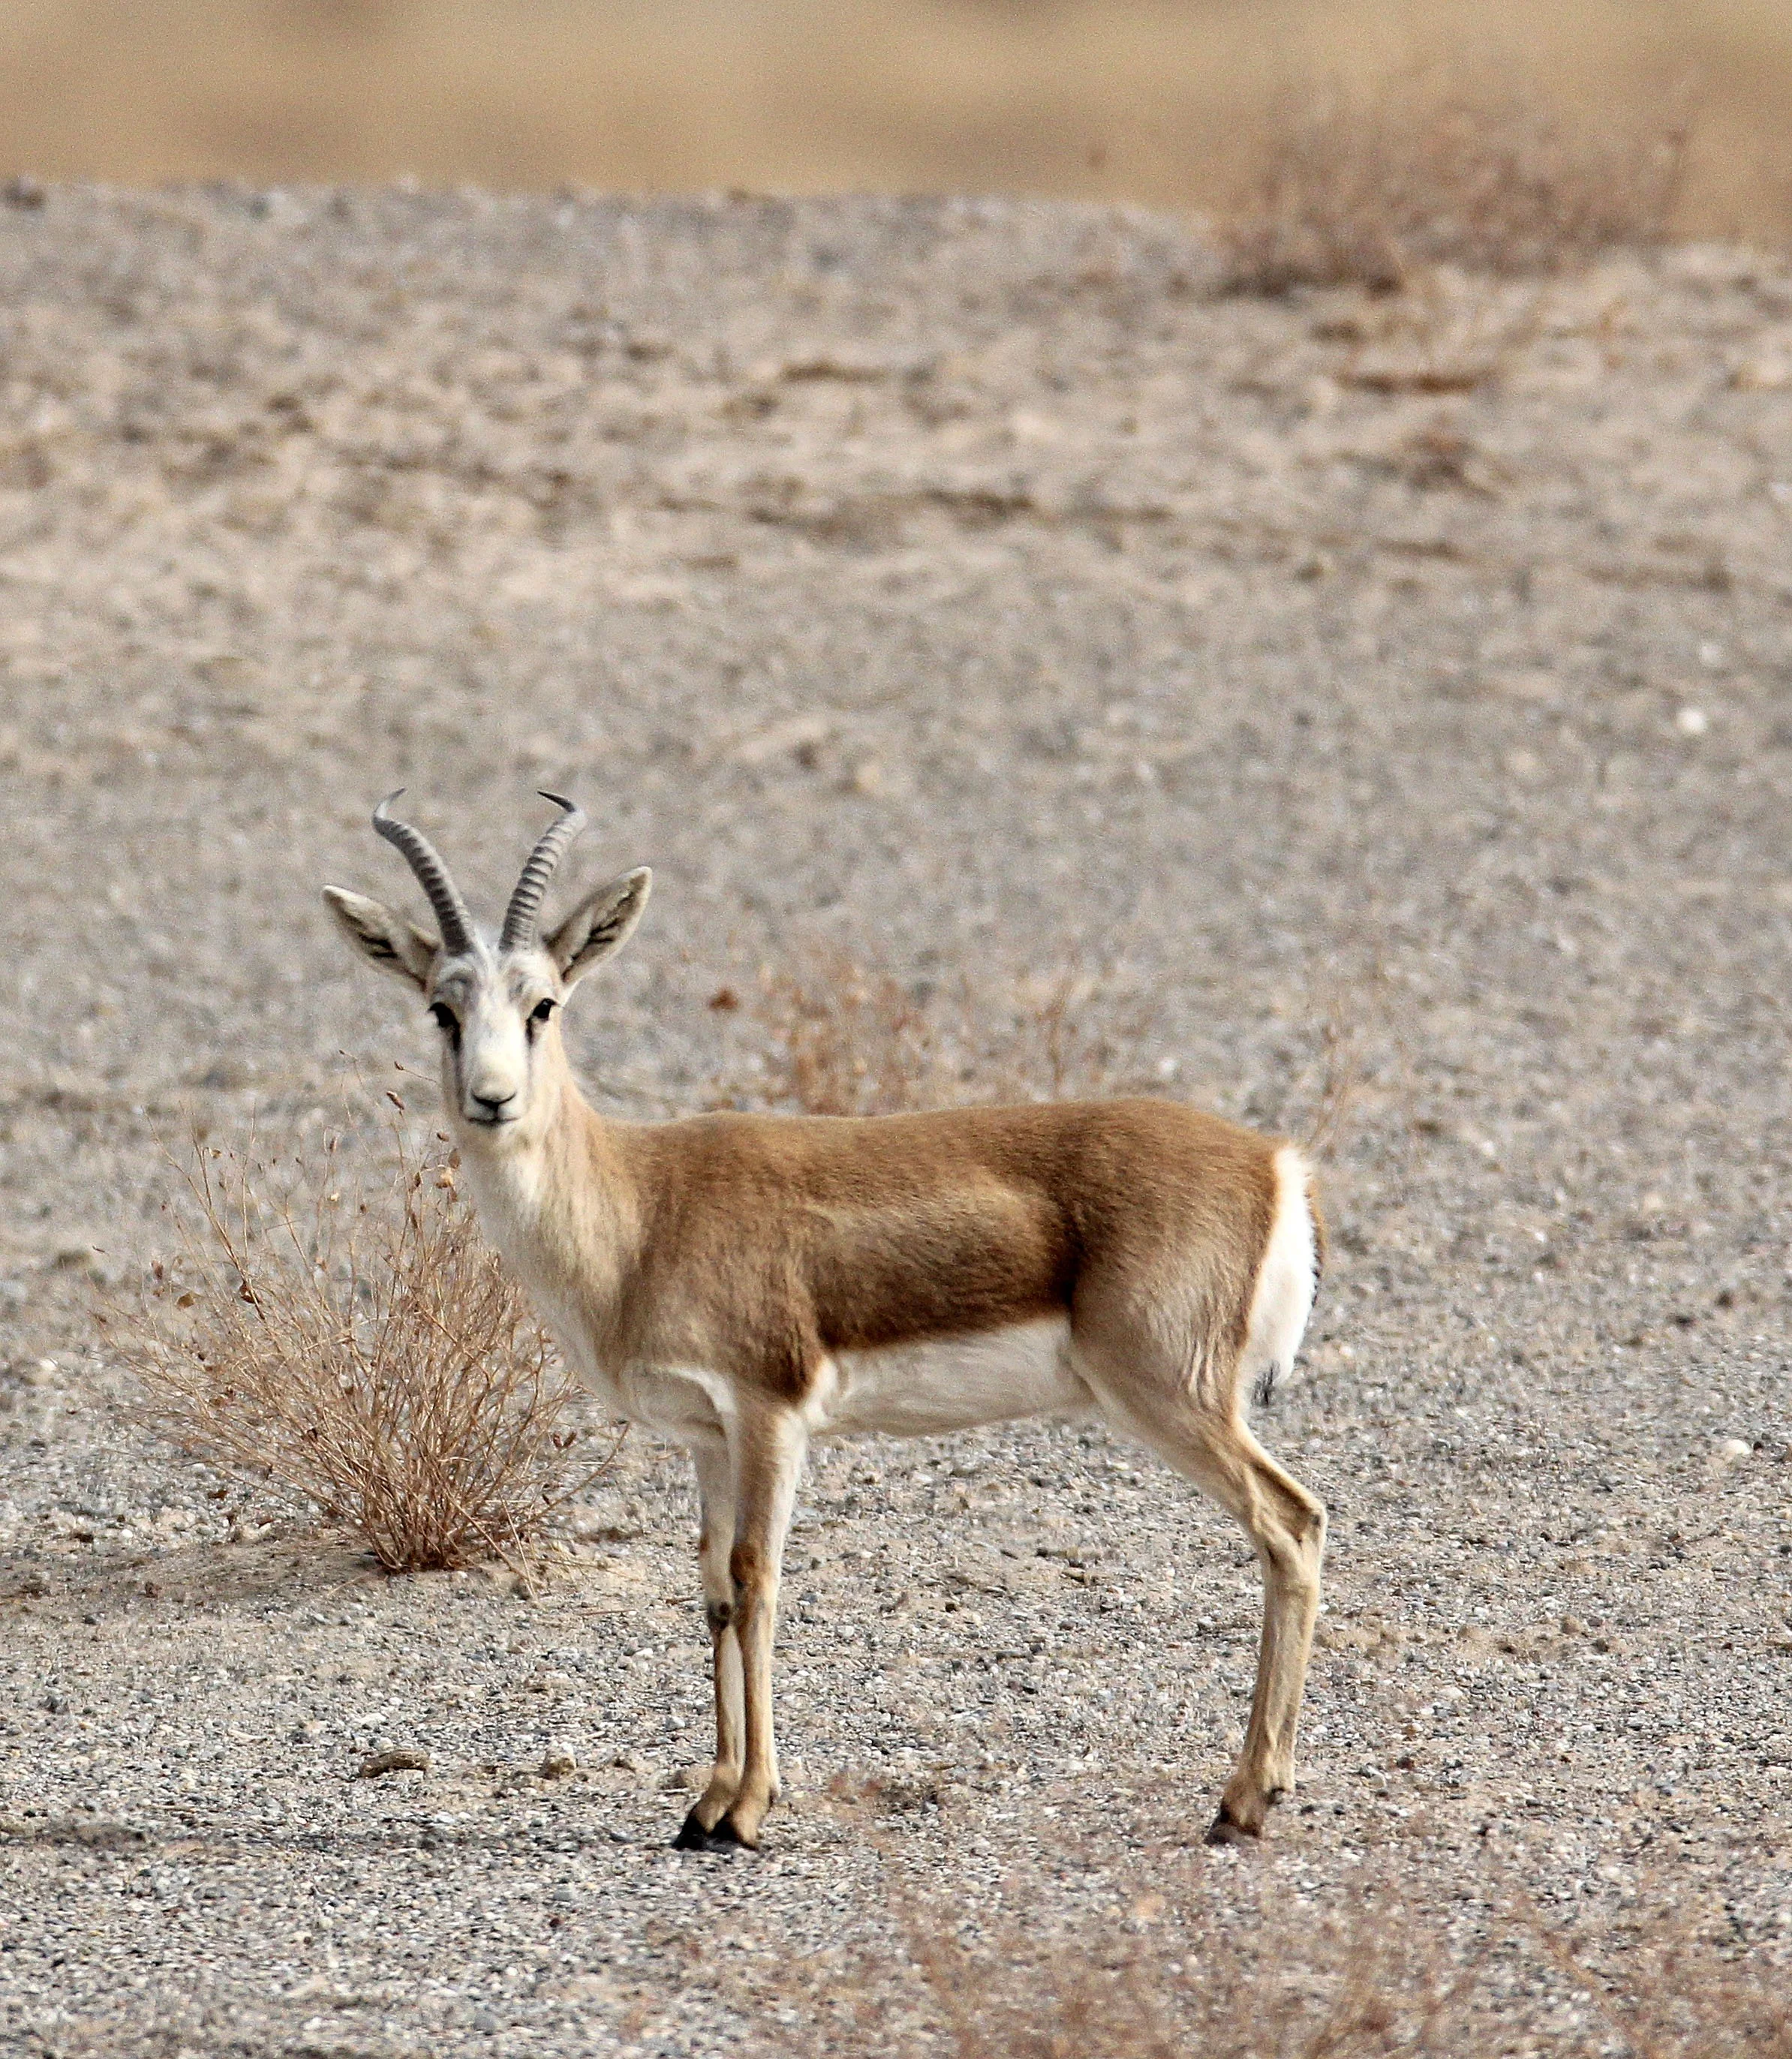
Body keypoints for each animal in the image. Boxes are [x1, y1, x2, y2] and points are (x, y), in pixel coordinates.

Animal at [325, 794, 1329, 1851]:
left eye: (543, 1004)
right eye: (442, 1006)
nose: (493, 1097)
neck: (640, 1209)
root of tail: (1275, 1162)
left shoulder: (771, 1412)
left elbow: (758, 1578)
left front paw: (748, 1808)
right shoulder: (708, 1435)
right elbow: (714, 1589)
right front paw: (705, 1802)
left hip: (1170, 1395)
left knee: (1292, 1523)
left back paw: (1245, 1796)